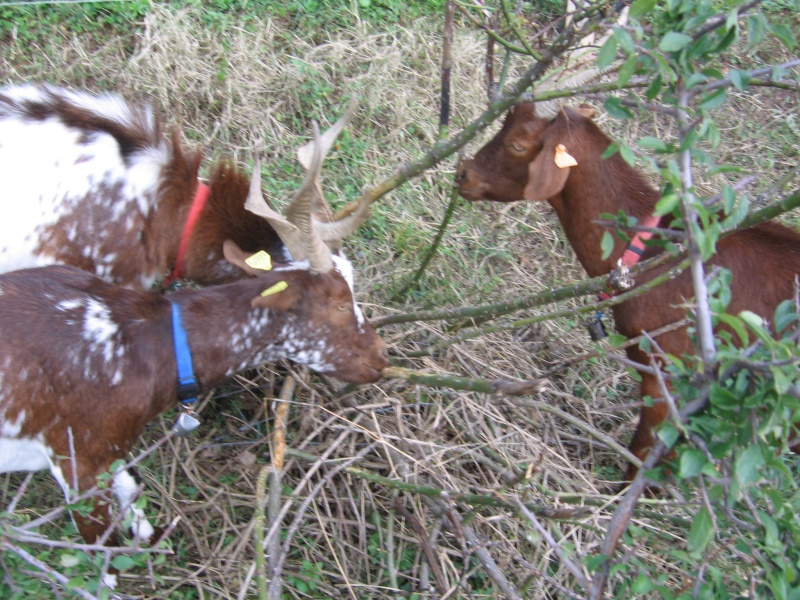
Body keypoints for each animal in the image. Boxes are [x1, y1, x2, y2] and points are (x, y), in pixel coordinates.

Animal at [0, 126, 390, 584]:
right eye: (341, 303)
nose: (380, 355)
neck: (136, 344)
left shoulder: (111, 453)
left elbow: (132, 495)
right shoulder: (78, 461)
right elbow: (100, 557)